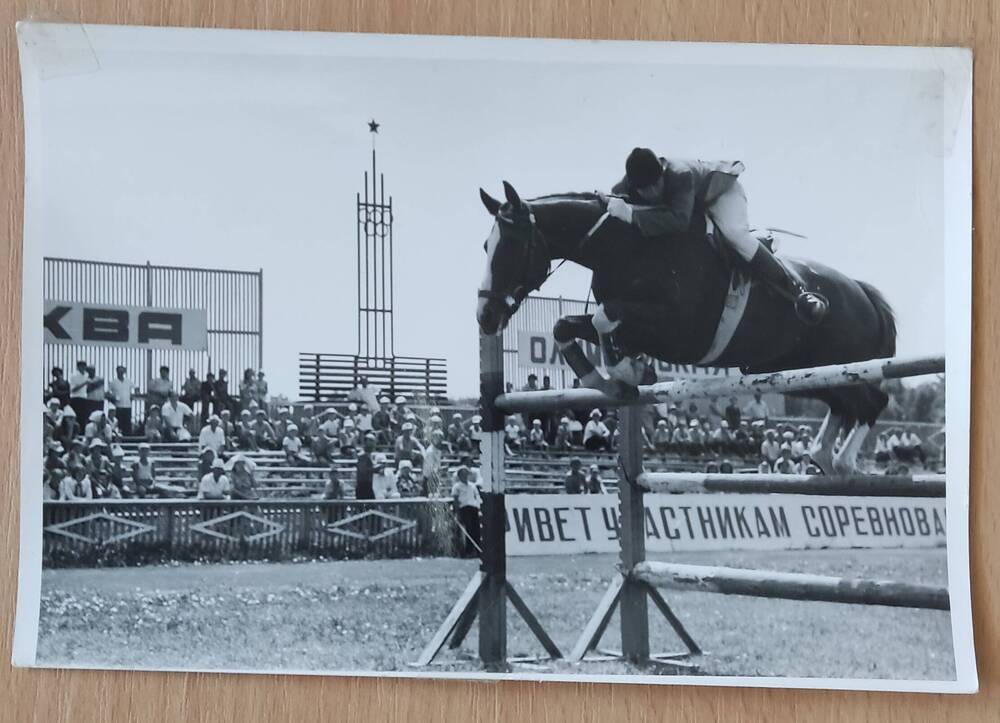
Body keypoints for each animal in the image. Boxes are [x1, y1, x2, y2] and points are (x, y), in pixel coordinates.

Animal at [476, 184, 900, 472]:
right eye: (485, 246)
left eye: (511, 246)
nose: (485, 316)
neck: (627, 247)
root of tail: (863, 293)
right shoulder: (637, 325)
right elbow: (568, 325)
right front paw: (611, 378)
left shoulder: (678, 332)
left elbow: (603, 317)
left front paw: (626, 369)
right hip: (810, 372)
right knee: (846, 404)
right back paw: (823, 455)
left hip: (841, 365)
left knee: (873, 401)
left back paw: (840, 460)